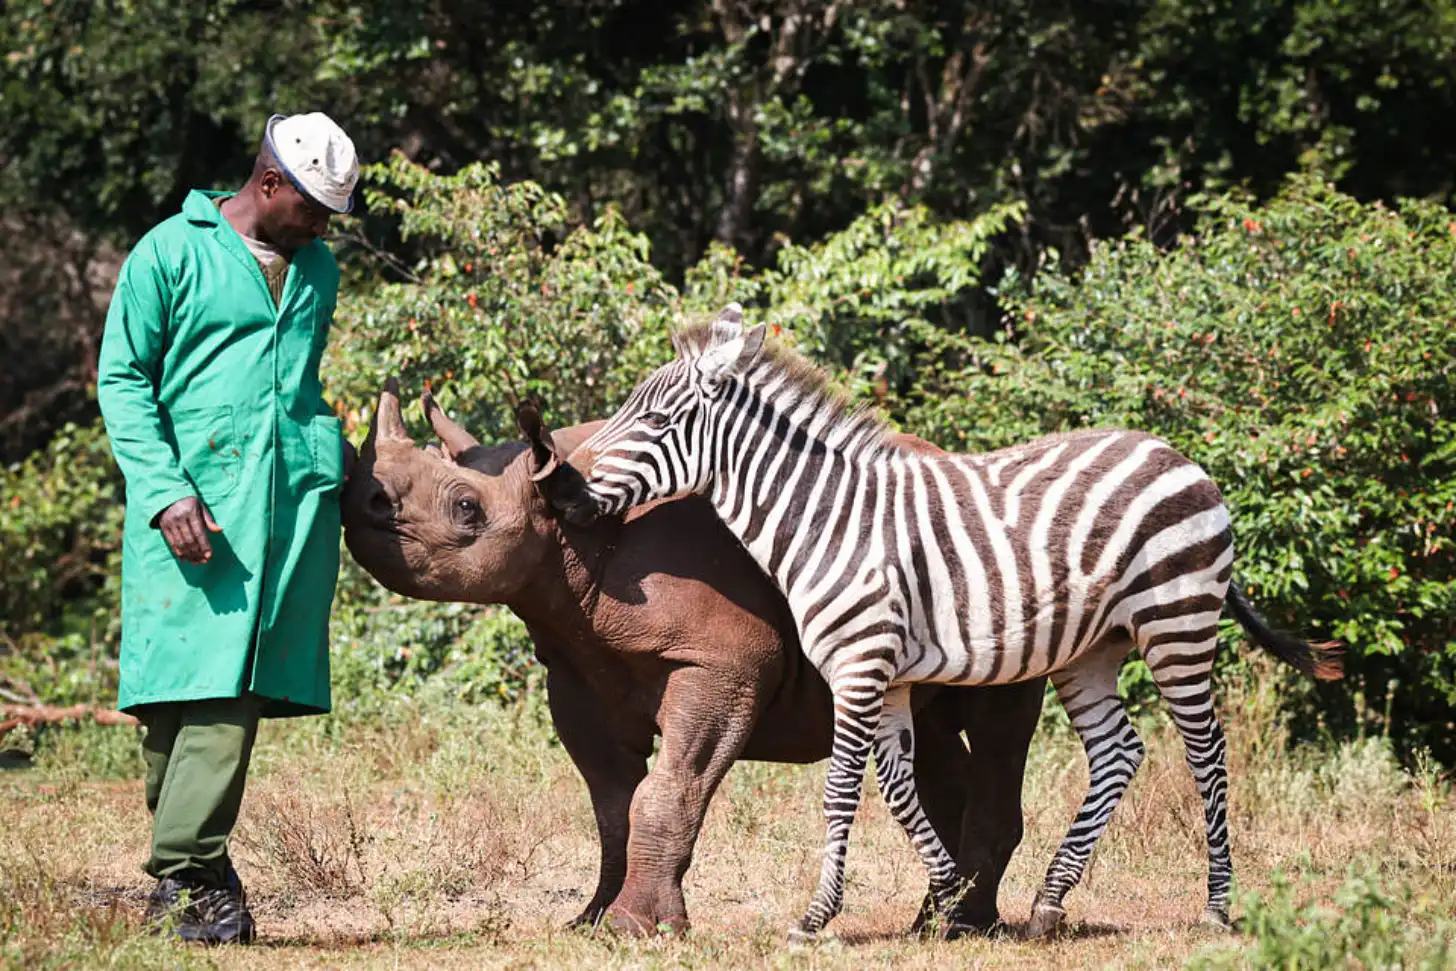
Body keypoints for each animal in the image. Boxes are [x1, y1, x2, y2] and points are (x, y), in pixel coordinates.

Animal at [339, 380, 1045, 935]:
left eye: (466, 508)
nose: (358, 498)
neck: (571, 524)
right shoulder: (574, 667)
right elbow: (613, 805)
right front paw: (591, 921)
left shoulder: (724, 661)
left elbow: (667, 787)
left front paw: (634, 929)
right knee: (927, 730)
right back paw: (940, 923)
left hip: (1008, 571)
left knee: (999, 725)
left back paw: (963, 928)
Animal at [559, 303, 1343, 943]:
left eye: (654, 422)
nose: (565, 488)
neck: (826, 522)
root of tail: (1176, 454)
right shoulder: (889, 677)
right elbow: (900, 790)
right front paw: (949, 898)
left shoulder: (860, 666)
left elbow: (843, 789)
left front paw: (817, 917)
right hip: (1090, 650)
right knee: (1119, 751)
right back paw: (1049, 903)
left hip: (1177, 623)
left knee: (1208, 753)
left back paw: (1216, 905)